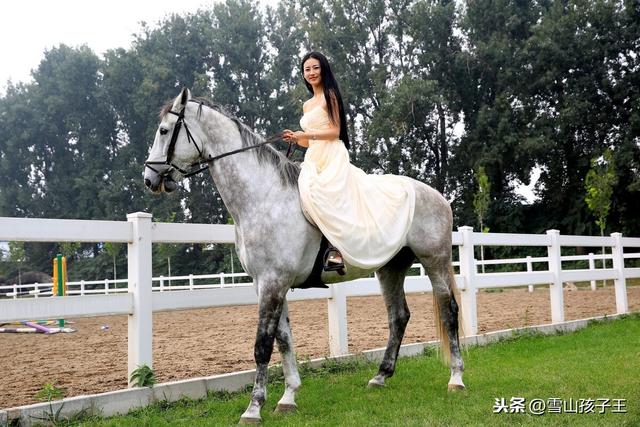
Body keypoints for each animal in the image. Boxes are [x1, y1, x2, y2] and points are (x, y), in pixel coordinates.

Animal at [144, 88, 464, 424]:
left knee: (449, 310)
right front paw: (288, 397)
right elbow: (283, 339)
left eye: (164, 130)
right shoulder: (268, 283)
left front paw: (253, 408)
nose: (149, 178)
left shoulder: (273, 282)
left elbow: (263, 345)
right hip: (391, 268)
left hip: (435, 261)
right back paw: (380, 377)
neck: (264, 198)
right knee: (398, 316)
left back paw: (456, 379)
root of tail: (438, 196)